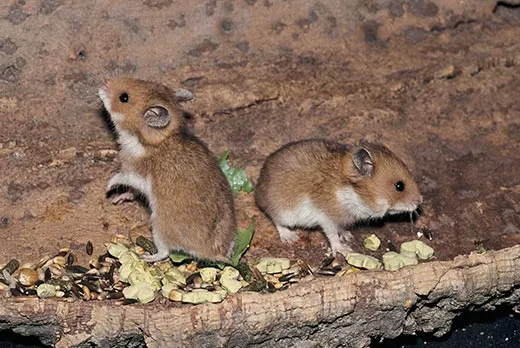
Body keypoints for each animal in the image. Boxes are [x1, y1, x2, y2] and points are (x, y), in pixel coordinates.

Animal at [98, 77, 236, 262]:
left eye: (124, 98)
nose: (103, 82)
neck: (154, 140)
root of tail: (212, 253)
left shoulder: (134, 174)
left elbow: (120, 178)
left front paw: (108, 188)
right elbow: (131, 192)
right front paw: (116, 200)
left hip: (158, 228)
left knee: (164, 253)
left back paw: (146, 257)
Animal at [256, 139, 422, 256]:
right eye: (399, 186)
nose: (420, 201)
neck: (354, 193)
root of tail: (258, 193)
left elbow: (340, 228)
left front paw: (348, 236)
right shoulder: (326, 218)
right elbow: (332, 235)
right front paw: (344, 250)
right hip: (284, 212)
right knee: (277, 221)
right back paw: (290, 237)